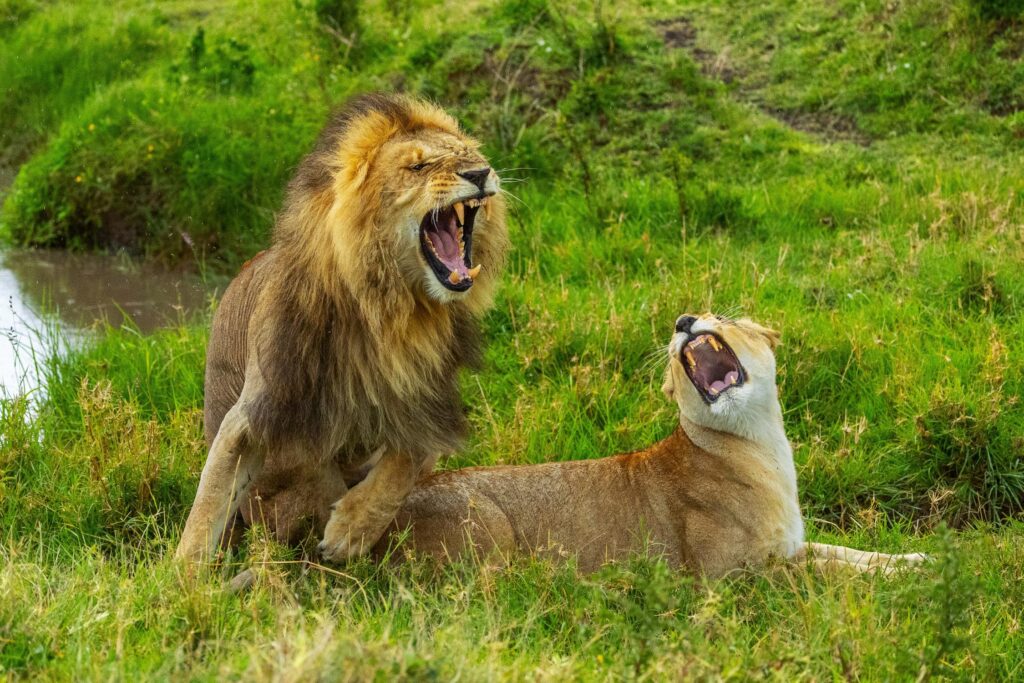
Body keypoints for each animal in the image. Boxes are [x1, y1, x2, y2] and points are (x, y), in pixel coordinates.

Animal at [174, 93, 509, 564]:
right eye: (418, 167)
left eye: (469, 155)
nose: (480, 173)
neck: (390, 306)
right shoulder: (262, 408)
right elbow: (208, 505)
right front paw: (180, 576)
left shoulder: (430, 399)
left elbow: (407, 460)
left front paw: (352, 528)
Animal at [370, 313, 926, 576]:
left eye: (722, 317)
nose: (683, 322)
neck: (761, 444)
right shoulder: (731, 577)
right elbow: (830, 576)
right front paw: (901, 580)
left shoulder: (786, 548)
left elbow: (847, 554)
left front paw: (917, 561)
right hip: (485, 530)